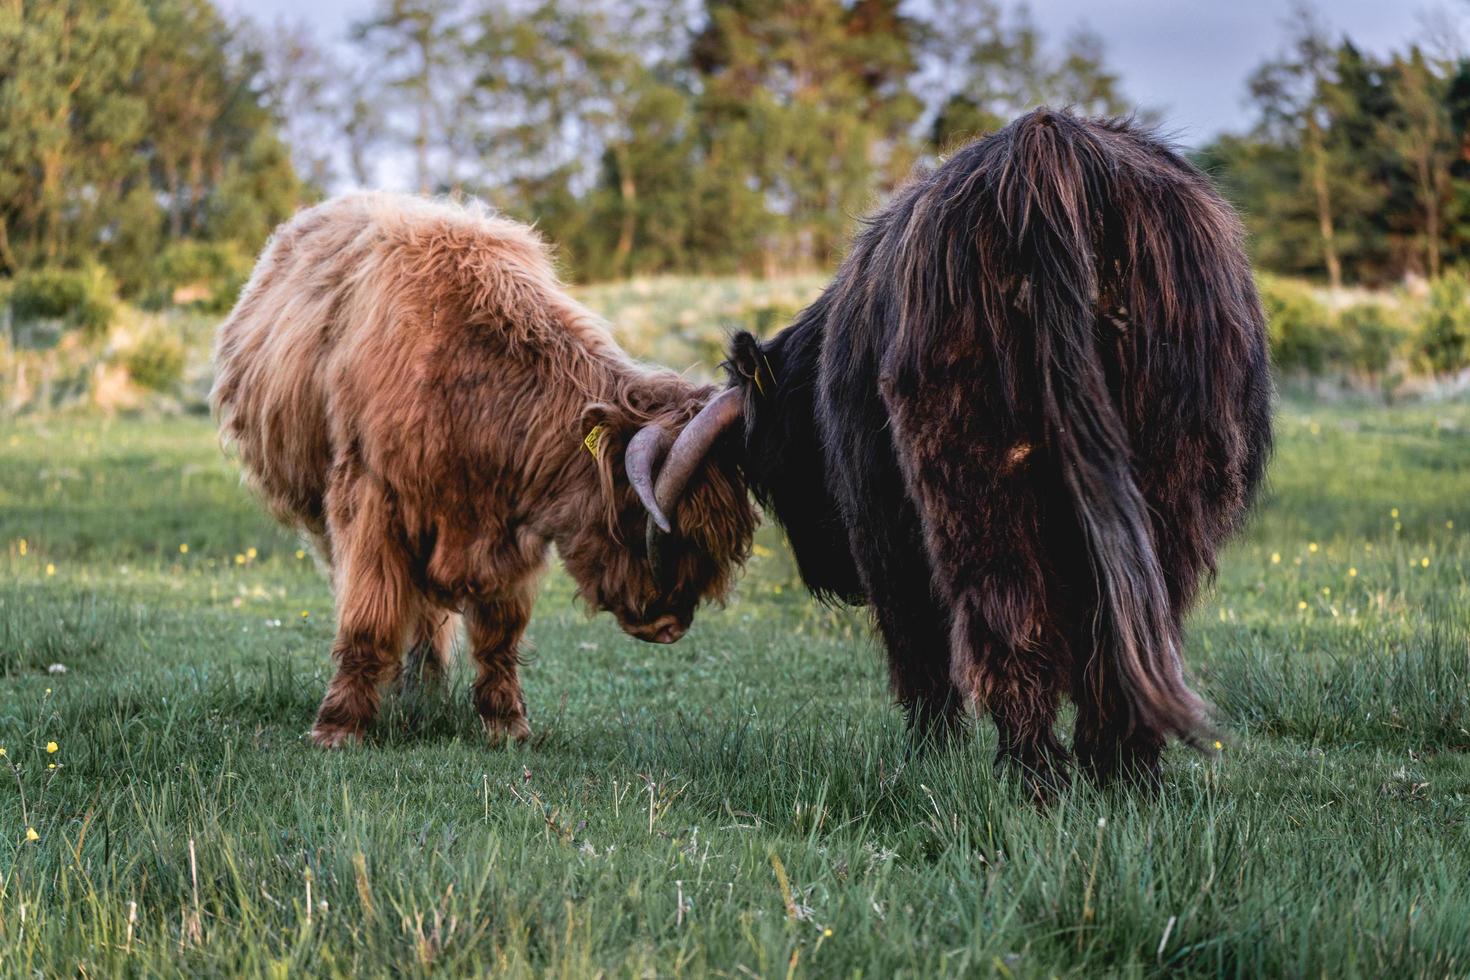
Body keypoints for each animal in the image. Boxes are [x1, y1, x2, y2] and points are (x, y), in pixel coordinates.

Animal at [213, 191, 758, 746]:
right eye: (638, 514)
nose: (671, 623)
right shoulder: (371, 501)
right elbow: (369, 614)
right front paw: (339, 726)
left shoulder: (509, 529)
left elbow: (499, 632)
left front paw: (505, 723)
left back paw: (425, 689)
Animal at [632, 109, 1275, 799]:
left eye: (767, 468)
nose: (828, 577)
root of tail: (1048, 150)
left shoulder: (881, 531)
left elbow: (916, 642)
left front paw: (928, 750)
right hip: (1166, 479)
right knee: (1136, 627)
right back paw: (1123, 771)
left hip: (971, 473)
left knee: (1004, 615)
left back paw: (1032, 772)